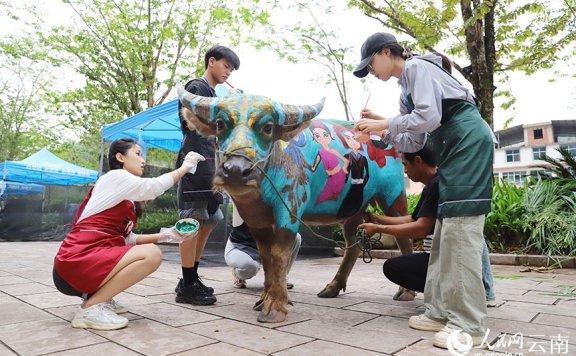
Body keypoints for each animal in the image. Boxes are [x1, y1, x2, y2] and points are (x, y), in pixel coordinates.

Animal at [178, 86, 412, 322]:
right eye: (220, 124)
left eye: (268, 127)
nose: (236, 169)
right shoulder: (256, 219)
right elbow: (265, 255)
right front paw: (264, 298)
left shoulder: (289, 209)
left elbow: (280, 253)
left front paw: (275, 306)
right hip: (354, 209)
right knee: (353, 245)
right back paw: (332, 288)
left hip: (393, 195)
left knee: (403, 235)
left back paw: (406, 292)